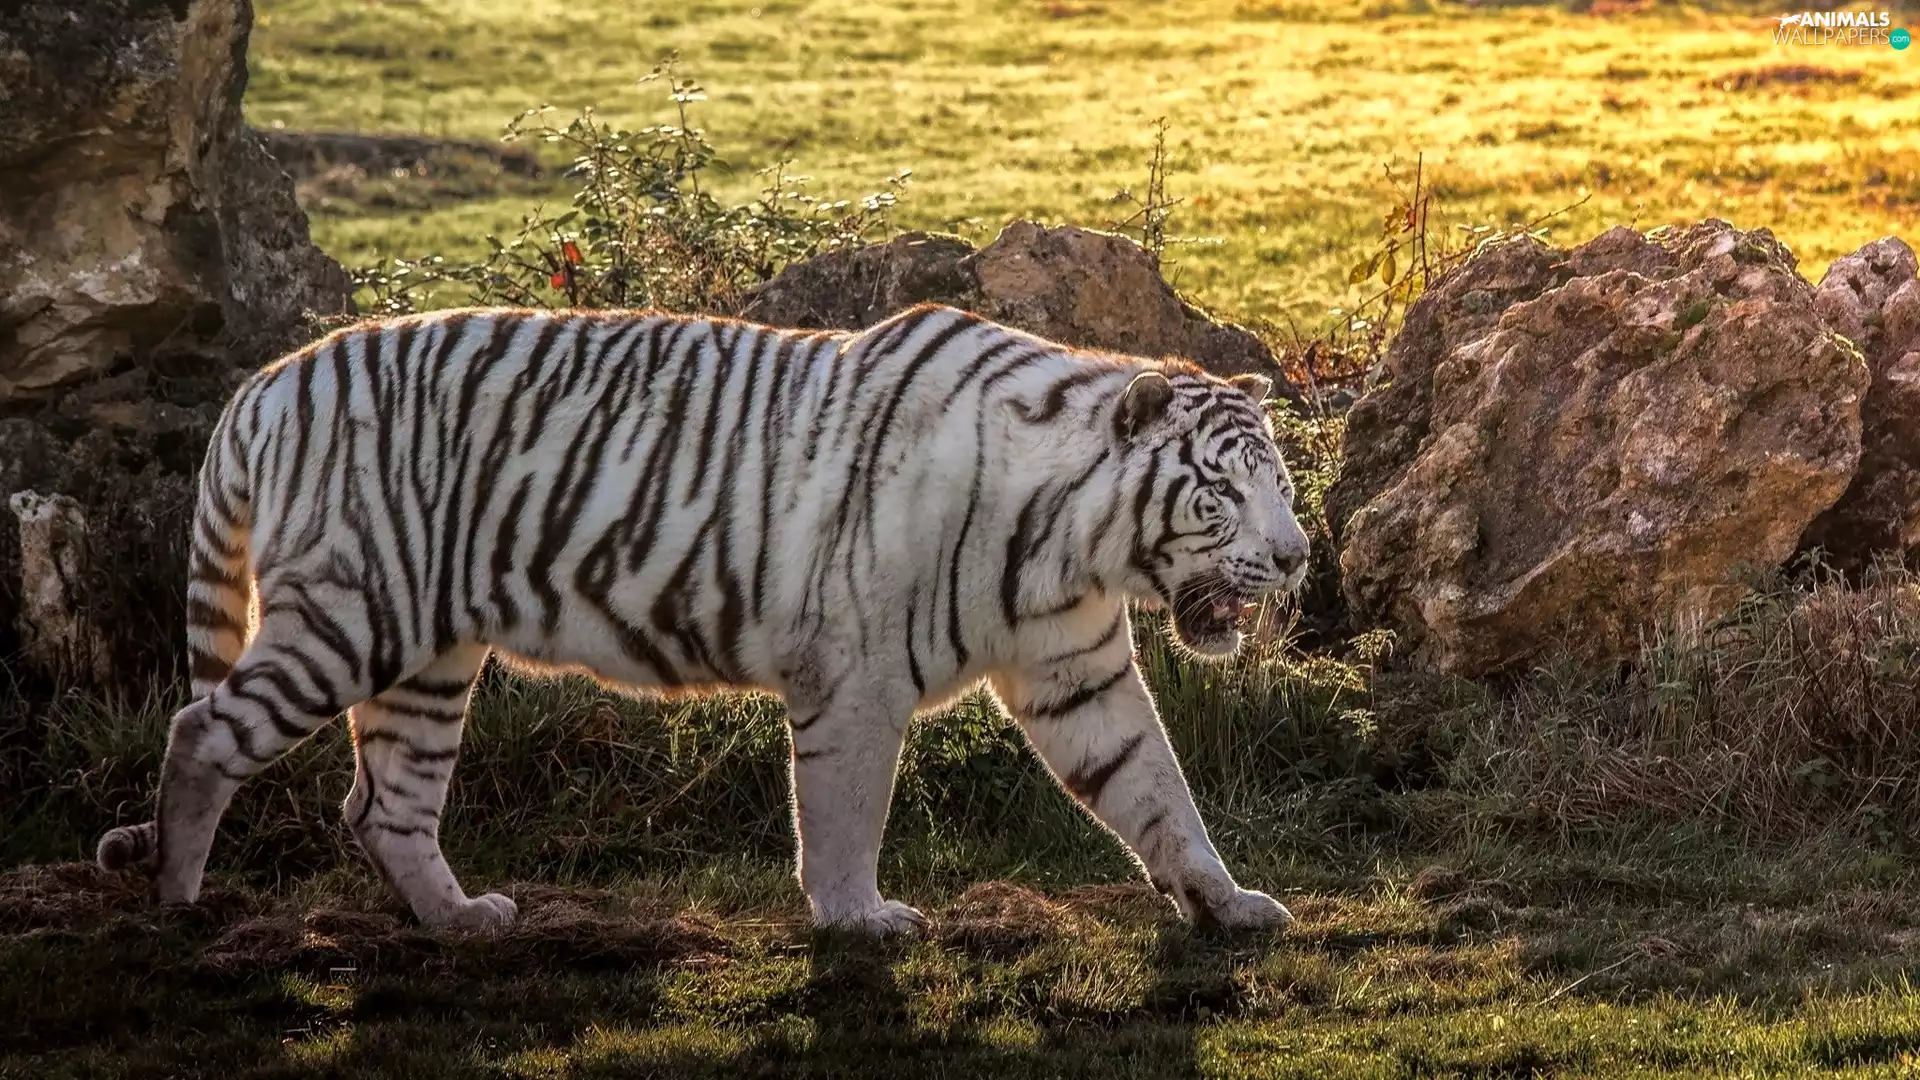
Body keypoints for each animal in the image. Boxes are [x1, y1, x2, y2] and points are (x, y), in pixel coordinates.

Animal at [94, 302, 1311, 936]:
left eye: (1283, 484)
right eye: (1223, 490)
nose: (1299, 556)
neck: (1073, 543)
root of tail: (264, 382)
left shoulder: (1078, 670)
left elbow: (1155, 788)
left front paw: (1229, 901)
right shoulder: (855, 675)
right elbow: (844, 811)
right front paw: (857, 920)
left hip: (430, 653)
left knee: (383, 805)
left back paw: (463, 919)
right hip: (352, 613)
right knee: (202, 732)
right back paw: (176, 903)